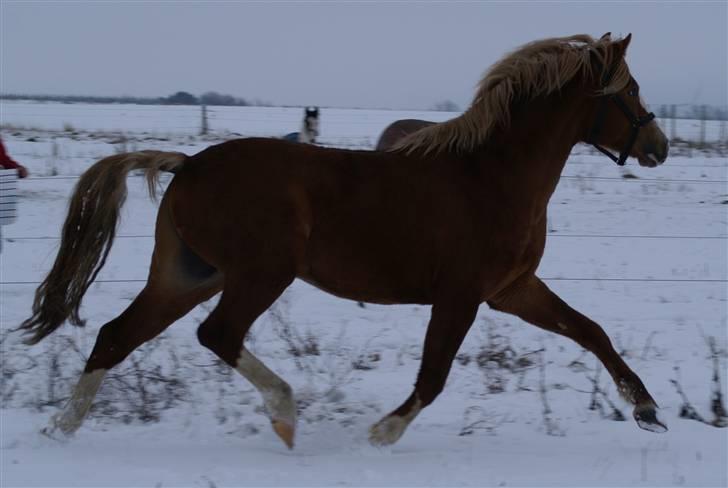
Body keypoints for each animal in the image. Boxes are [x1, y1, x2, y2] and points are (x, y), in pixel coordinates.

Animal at [19, 33, 668, 450]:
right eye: (631, 89)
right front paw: (383, 433)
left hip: (188, 275)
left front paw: (647, 409)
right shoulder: (460, 296)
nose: (659, 146)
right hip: (262, 271)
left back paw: (61, 430)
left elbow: (590, 331)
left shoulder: (513, 291)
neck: (492, 176)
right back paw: (285, 414)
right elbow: (433, 376)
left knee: (115, 336)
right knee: (217, 334)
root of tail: (189, 164)